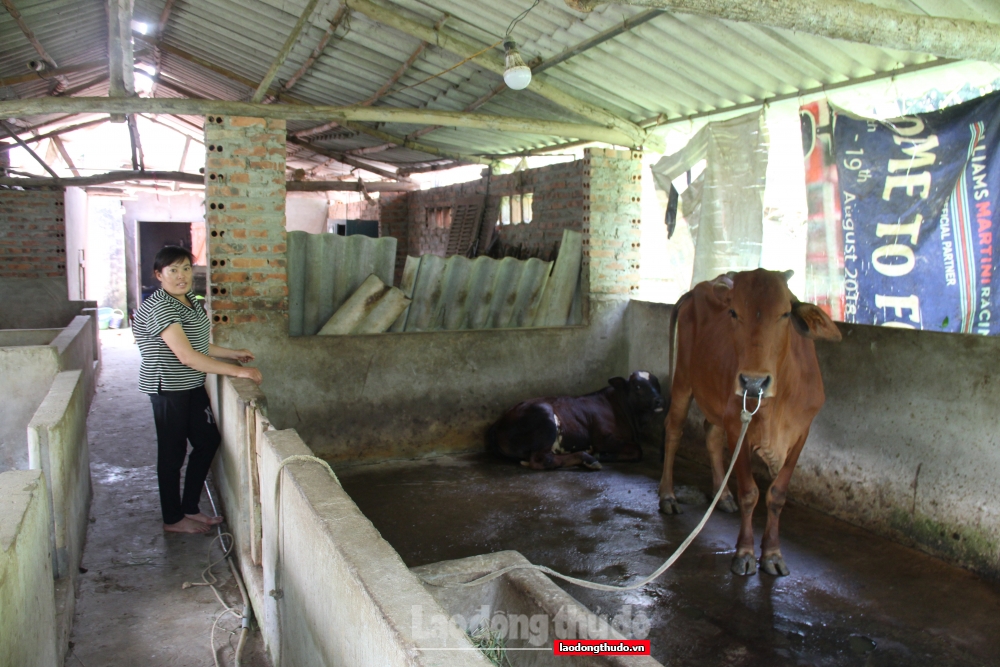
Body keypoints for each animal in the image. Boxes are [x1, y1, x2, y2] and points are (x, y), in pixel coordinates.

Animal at [424, 388, 764, 592]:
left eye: (654, 383)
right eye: (639, 387)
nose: (659, 401)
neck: (618, 407)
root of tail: (497, 424)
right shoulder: (607, 437)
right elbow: (634, 451)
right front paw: (604, 455)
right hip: (545, 419)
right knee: (542, 460)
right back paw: (587, 459)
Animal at [660, 268, 840, 576]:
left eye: (785, 313)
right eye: (733, 312)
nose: (753, 382)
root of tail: (697, 289)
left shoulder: (801, 434)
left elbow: (777, 494)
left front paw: (772, 554)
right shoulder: (738, 427)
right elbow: (749, 493)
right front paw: (744, 552)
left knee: (711, 434)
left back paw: (722, 496)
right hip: (684, 380)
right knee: (674, 430)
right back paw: (668, 496)